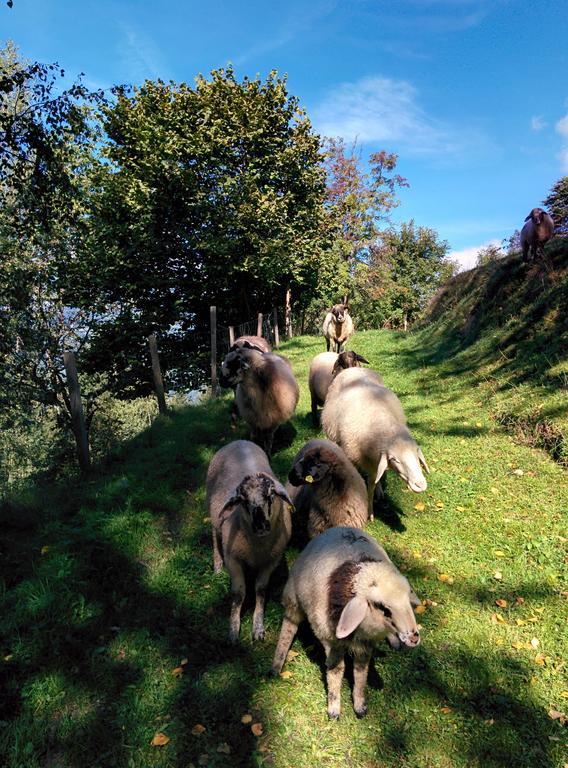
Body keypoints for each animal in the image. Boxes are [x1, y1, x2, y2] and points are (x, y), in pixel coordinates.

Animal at [206, 438, 292, 640]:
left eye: (271, 495)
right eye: (242, 500)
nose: (260, 525)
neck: (258, 547)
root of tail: (239, 441)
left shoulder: (272, 561)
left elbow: (260, 590)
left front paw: (258, 627)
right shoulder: (233, 559)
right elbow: (239, 593)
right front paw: (233, 629)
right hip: (213, 512)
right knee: (214, 537)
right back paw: (217, 566)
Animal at [270, 528, 422, 720]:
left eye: (408, 600)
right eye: (381, 607)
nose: (414, 638)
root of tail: (338, 528)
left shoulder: (366, 642)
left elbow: (361, 670)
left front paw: (360, 704)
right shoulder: (330, 640)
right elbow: (336, 670)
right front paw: (334, 708)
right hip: (293, 599)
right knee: (288, 627)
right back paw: (277, 663)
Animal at [322, 368, 428, 520]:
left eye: (416, 455)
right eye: (394, 459)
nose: (420, 485)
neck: (381, 423)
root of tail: (352, 368)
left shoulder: (374, 462)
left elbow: (372, 485)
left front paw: (370, 510)